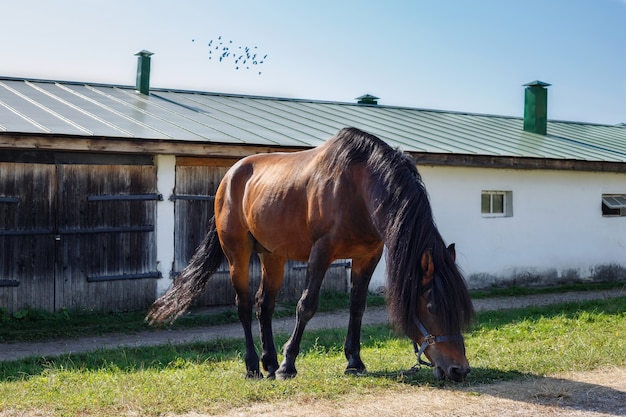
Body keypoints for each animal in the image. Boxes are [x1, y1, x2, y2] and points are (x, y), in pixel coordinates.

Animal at [147, 126, 472, 380]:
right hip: (237, 253)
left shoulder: (368, 256)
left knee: (264, 304)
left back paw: (268, 362)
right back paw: (254, 367)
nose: (459, 369)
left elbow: (357, 306)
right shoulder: (322, 252)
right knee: (243, 304)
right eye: (431, 307)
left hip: (272, 256)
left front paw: (354, 362)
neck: (358, 189)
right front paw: (288, 365)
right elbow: (306, 305)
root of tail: (229, 177)